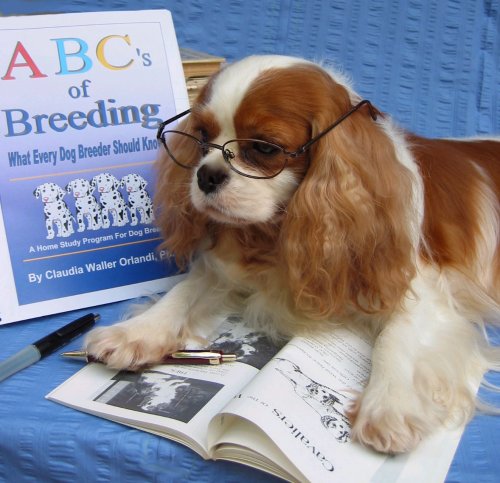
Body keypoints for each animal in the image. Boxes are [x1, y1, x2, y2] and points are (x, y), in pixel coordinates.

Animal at [84, 55, 498, 454]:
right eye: (201, 137)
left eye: (265, 147)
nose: (206, 175)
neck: (278, 232)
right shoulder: (226, 269)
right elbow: (183, 292)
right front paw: (137, 332)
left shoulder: (416, 285)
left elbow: (396, 337)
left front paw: (389, 405)